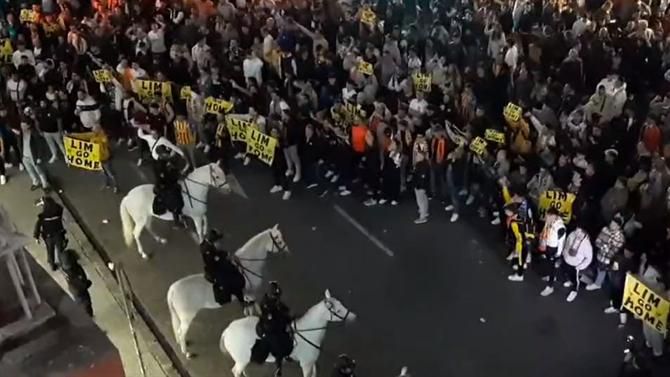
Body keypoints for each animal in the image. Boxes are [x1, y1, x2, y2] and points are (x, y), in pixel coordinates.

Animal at [166, 225, 288, 356]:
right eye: (277, 238)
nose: (286, 250)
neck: (248, 265)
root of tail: (173, 289)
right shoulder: (250, 293)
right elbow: (254, 308)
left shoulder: (247, 294)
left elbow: (251, 307)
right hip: (187, 317)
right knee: (181, 332)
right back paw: (186, 352)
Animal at [220, 288, 356, 376]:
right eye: (338, 311)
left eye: (341, 305)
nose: (353, 317)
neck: (308, 333)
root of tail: (227, 331)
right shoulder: (306, 364)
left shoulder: (311, 363)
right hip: (242, 360)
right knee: (236, 371)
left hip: (243, 359)